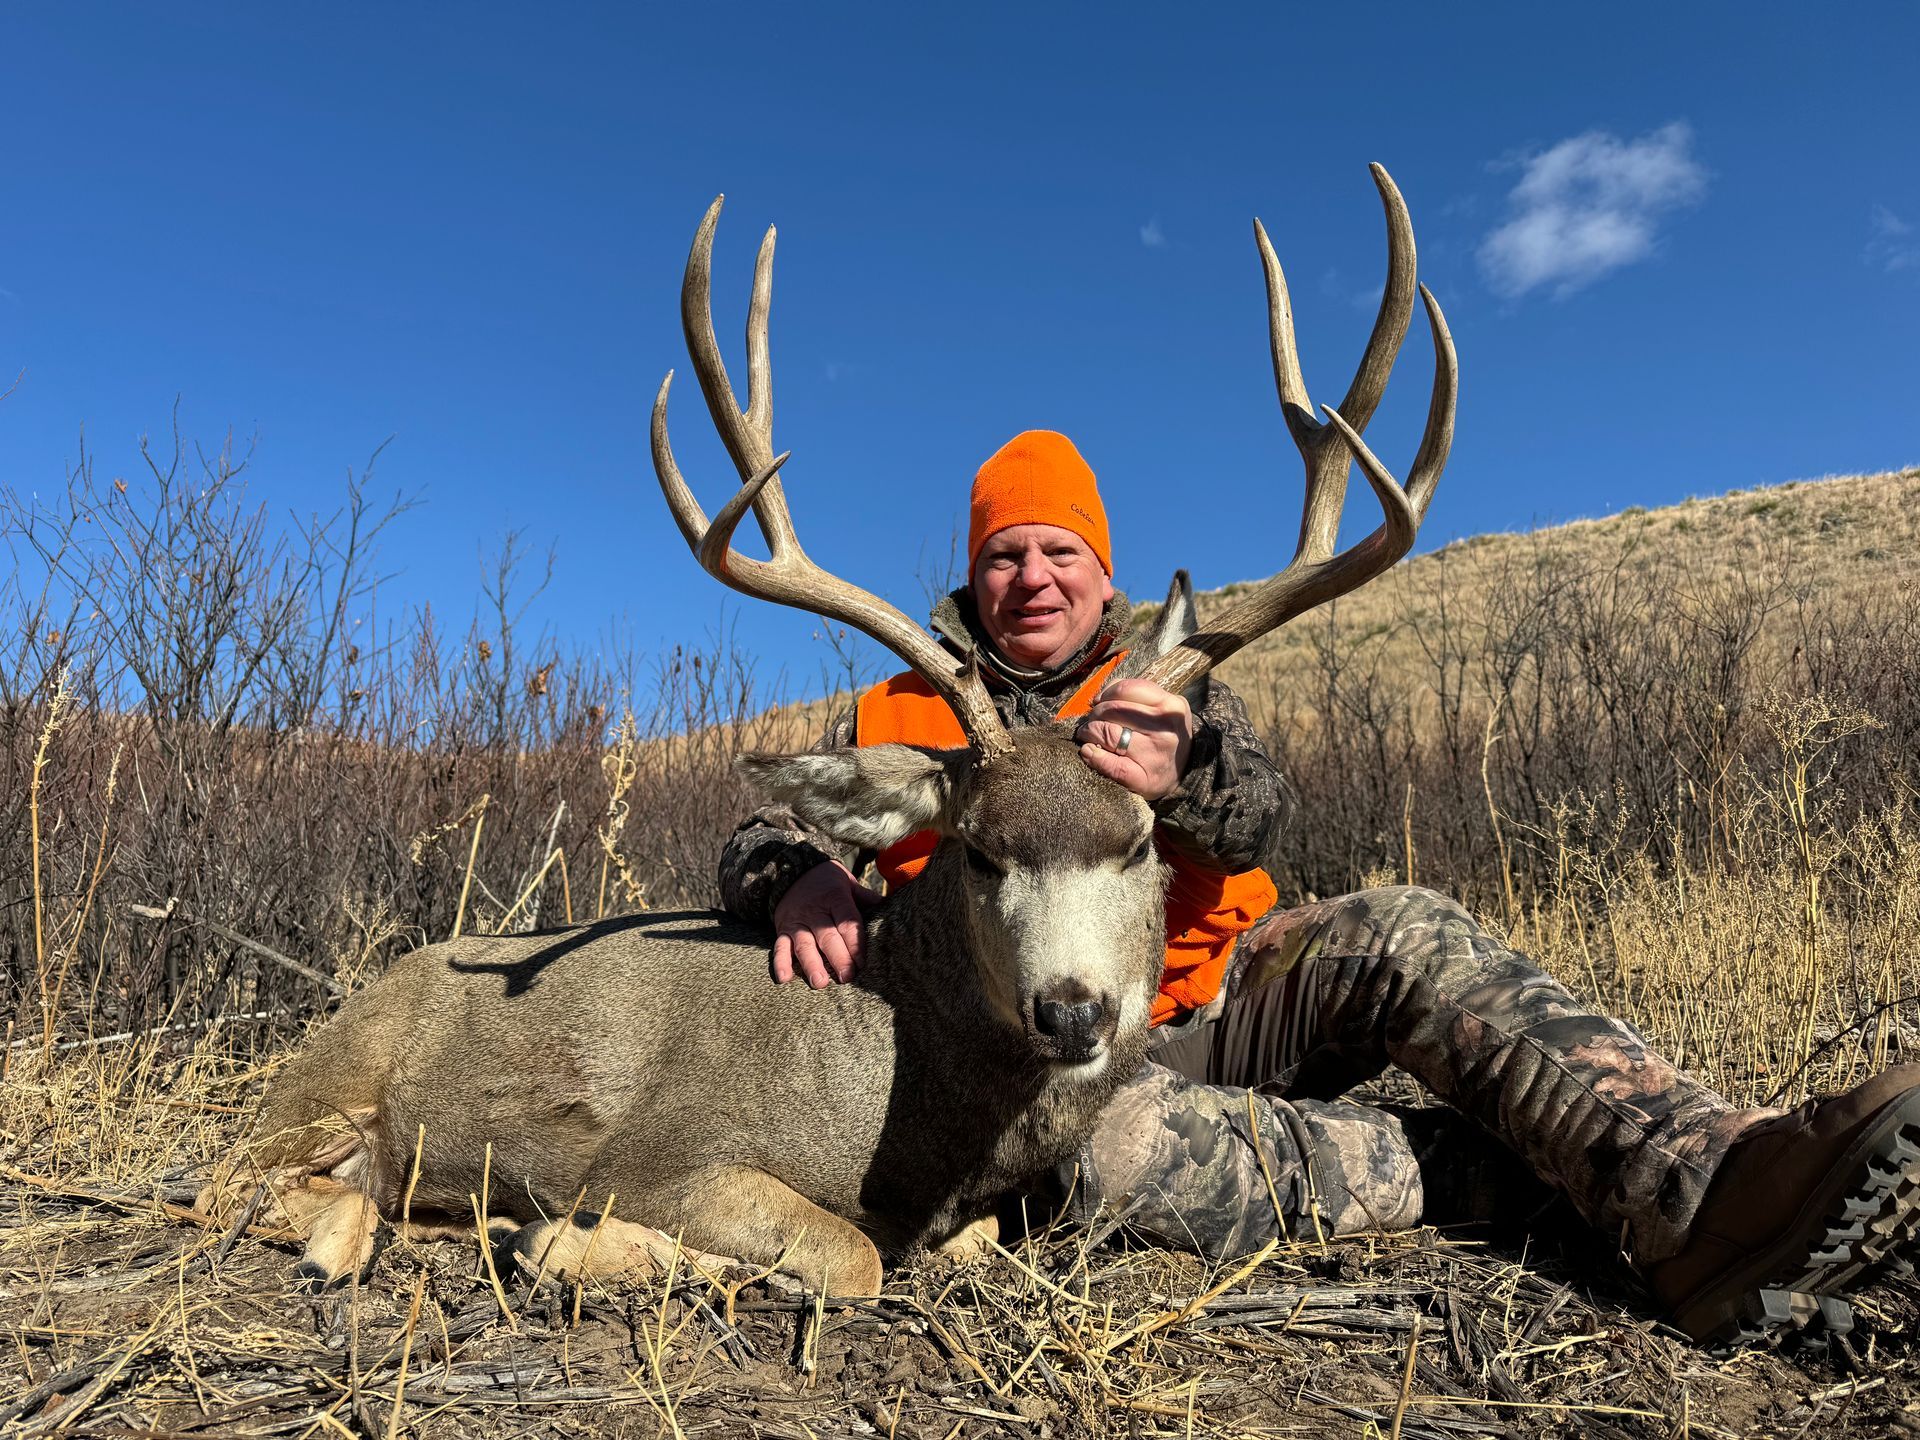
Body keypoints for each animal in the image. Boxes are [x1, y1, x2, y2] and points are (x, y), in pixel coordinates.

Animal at [205, 163, 1455, 1298]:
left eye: (1142, 841)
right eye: (980, 851)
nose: (1072, 1009)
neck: (902, 1107)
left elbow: (970, 1239)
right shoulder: (657, 1155)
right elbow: (849, 1255)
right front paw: (568, 1243)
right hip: (319, 1090)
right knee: (255, 1187)